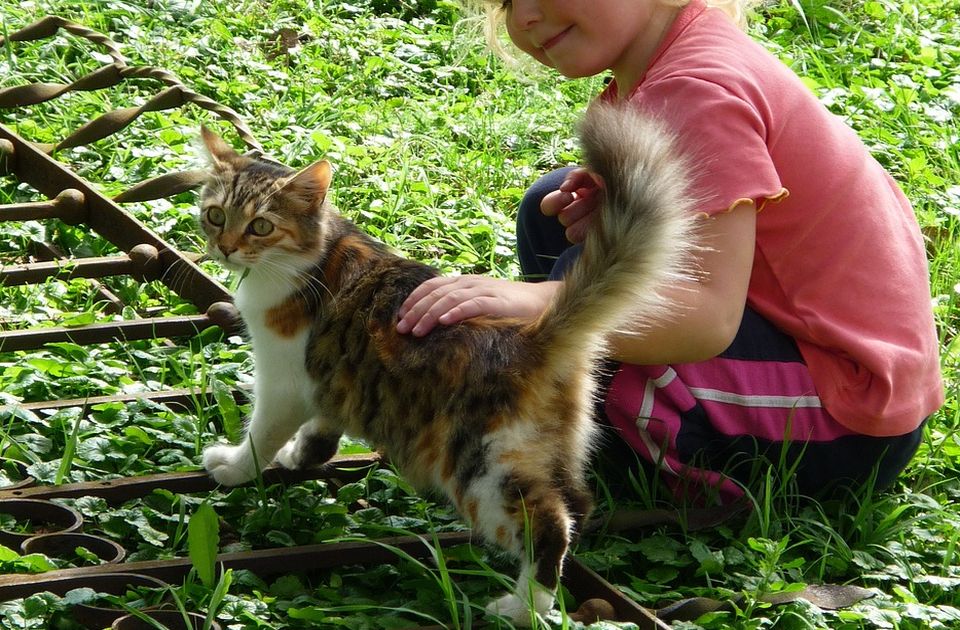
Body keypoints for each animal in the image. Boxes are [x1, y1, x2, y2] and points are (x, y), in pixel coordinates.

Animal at [199, 103, 692, 624]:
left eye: (261, 226)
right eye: (215, 216)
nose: (225, 247)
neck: (313, 254)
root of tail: (531, 336)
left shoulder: (284, 380)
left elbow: (261, 434)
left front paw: (234, 466)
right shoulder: (335, 379)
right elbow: (322, 426)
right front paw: (301, 454)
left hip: (480, 468)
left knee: (549, 522)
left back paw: (521, 606)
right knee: (578, 504)